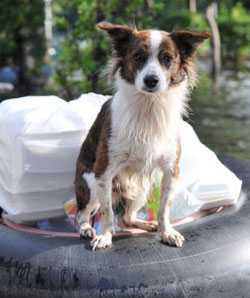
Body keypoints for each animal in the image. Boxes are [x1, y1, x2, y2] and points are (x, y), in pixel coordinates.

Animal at [74, 21, 209, 249]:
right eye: (138, 57)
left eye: (167, 59)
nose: (151, 80)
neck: (149, 106)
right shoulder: (103, 171)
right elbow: (107, 212)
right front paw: (105, 236)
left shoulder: (170, 171)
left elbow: (164, 209)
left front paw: (167, 232)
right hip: (91, 185)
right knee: (83, 214)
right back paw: (86, 229)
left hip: (141, 187)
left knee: (126, 217)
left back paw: (145, 224)